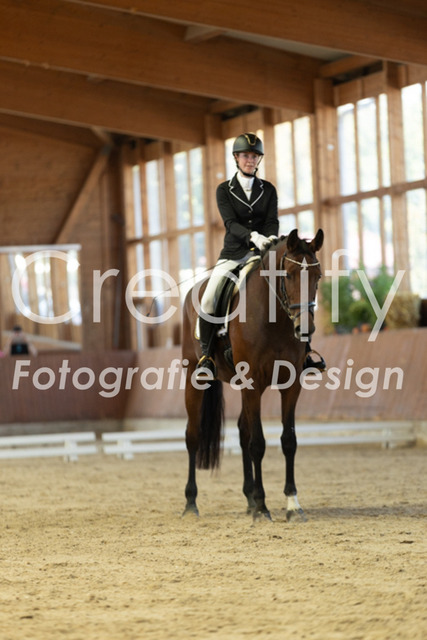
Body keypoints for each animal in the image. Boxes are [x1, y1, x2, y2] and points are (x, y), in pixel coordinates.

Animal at [181, 228, 324, 521]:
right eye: (288, 275)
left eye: (318, 276)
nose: (304, 329)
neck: (275, 318)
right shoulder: (252, 383)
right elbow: (258, 443)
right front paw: (262, 506)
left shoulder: (291, 385)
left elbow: (288, 440)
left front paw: (292, 504)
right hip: (195, 377)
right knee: (193, 435)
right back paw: (191, 504)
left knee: (242, 431)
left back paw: (247, 498)